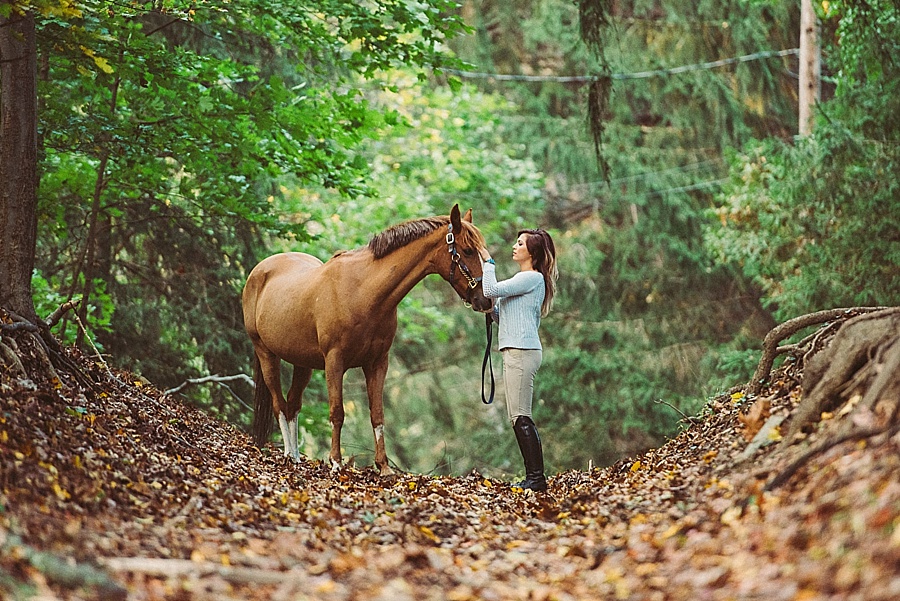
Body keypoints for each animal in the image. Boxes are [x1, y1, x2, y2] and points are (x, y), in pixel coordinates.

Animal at [243, 205, 488, 474]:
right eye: (468, 250)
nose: (485, 300)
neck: (363, 292)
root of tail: (260, 270)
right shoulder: (334, 362)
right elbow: (337, 413)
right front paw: (336, 463)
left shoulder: (377, 363)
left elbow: (377, 414)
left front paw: (384, 467)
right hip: (266, 353)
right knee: (279, 403)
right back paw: (288, 454)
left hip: (302, 363)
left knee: (292, 404)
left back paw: (296, 457)